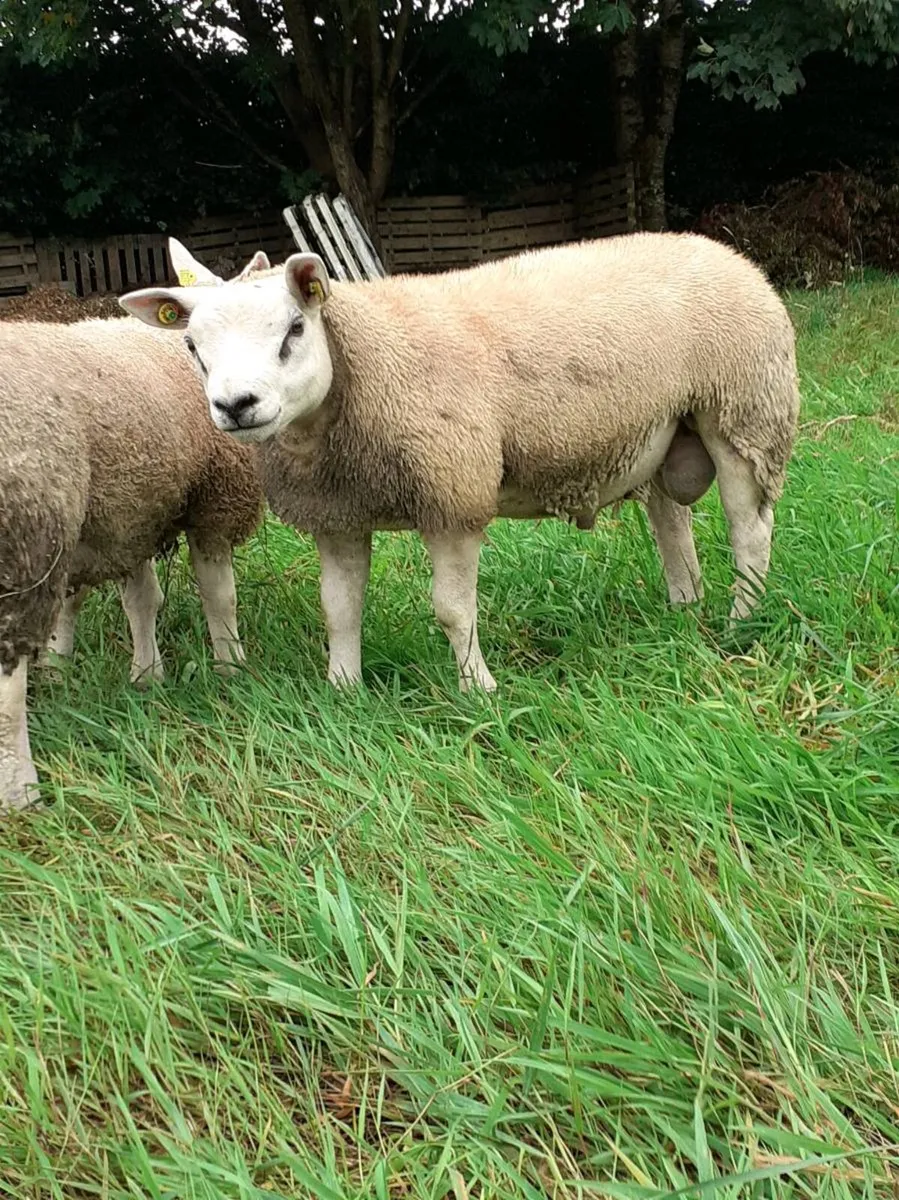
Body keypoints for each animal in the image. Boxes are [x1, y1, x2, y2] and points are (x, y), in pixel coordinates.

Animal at [0, 241, 266, 810]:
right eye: (195, 339)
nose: (237, 404)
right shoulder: (209, 500)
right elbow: (220, 596)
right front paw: (231, 667)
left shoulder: (126, 511)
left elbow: (137, 599)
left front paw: (141, 675)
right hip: (27, 538)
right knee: (7, 687)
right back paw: (22, 793)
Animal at [120, 231, 800, 695]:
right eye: (190, 345)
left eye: (293, 328)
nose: (237, 405)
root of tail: (725, 252)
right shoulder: (338, 513)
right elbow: (338, 607)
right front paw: (343, 690)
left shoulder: (453, 495)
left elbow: (451, 609)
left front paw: (480, 691)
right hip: (666, 429)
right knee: (670, 523)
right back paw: (683, 609)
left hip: (745, 413)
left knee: (750, 531)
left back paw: (742, 620)